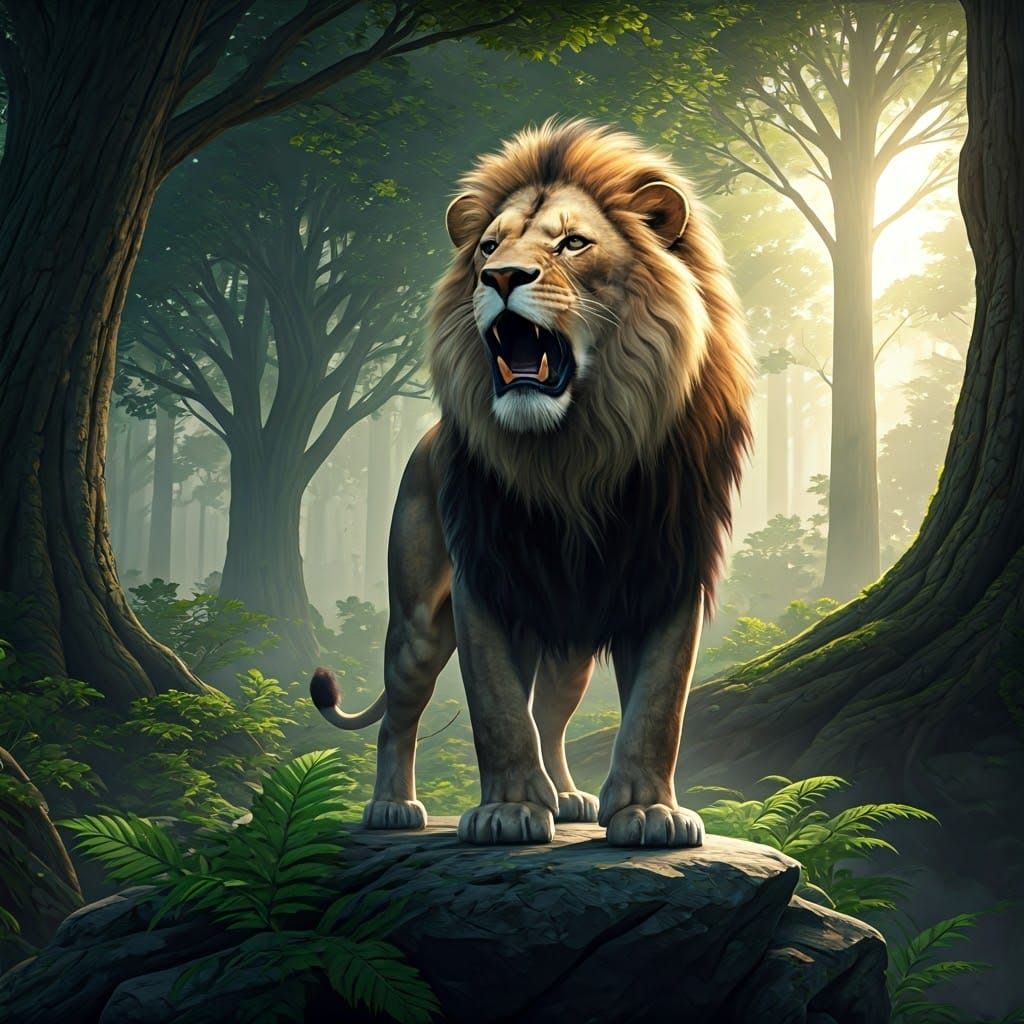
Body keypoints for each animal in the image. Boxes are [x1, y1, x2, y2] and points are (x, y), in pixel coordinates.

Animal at [311, 119, 752, 848]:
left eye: (573, 243)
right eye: (489, 246)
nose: (501, 276)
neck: (573, 459)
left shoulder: (668, 572)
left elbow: (657, 707)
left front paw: (646, 811)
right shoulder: (486, 578)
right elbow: (497, 708)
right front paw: (510, 810)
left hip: (571, 645)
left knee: (552, 712)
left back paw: (569, 796)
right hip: (418, 623)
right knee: (400, 715)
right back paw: (391, 807)